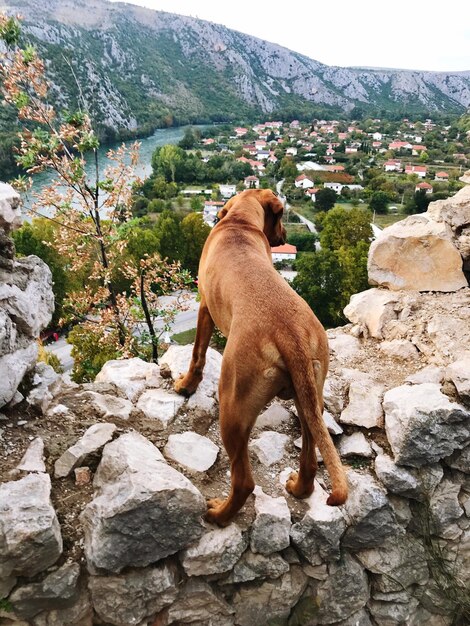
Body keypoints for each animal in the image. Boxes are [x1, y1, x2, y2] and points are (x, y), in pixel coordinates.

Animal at [174, 188, 346, 524]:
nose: (284, 236)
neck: (239, 223)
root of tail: (289, 333)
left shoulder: (204, 307)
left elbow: (198, 352)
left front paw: (187, 385)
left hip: (233, 405)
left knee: (244, 481)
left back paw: (219, 514)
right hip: (310, 396)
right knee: (310, 457)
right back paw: (299, 487)